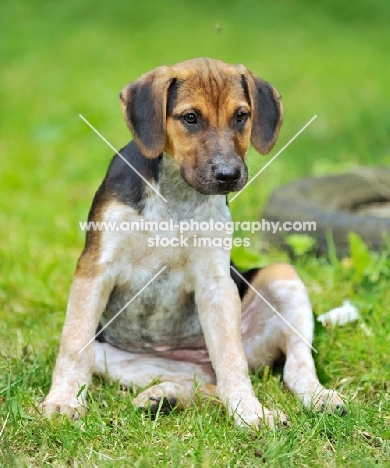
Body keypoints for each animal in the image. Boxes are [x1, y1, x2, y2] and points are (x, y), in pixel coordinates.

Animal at [41, 58, 342, 428]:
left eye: (241, 116)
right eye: (190, 118)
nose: (228, 175)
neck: (177, 195)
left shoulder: (215, 282)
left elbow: (231, 358)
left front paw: (249, 412)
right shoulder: (95, 269)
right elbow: (73, 344)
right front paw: (63, 401)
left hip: (282, 276)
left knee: (292, 367)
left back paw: (319, 397)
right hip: (116, 357)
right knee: (202, 384)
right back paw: (163, 396)